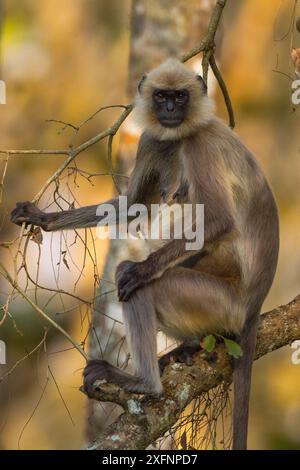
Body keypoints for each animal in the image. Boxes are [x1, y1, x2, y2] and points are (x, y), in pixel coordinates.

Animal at [11, 59, 278, 452]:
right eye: (162, 96)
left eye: (180, 96)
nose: (169, 109)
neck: (181, 135)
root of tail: (255, 304)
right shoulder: (152, 140)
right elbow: (134, 204)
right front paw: (42, 217)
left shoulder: (199, 145)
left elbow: (219, 220)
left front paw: (138, 271)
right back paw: (189, 346)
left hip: (217, 300)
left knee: (149, 280)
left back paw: (144, 382)